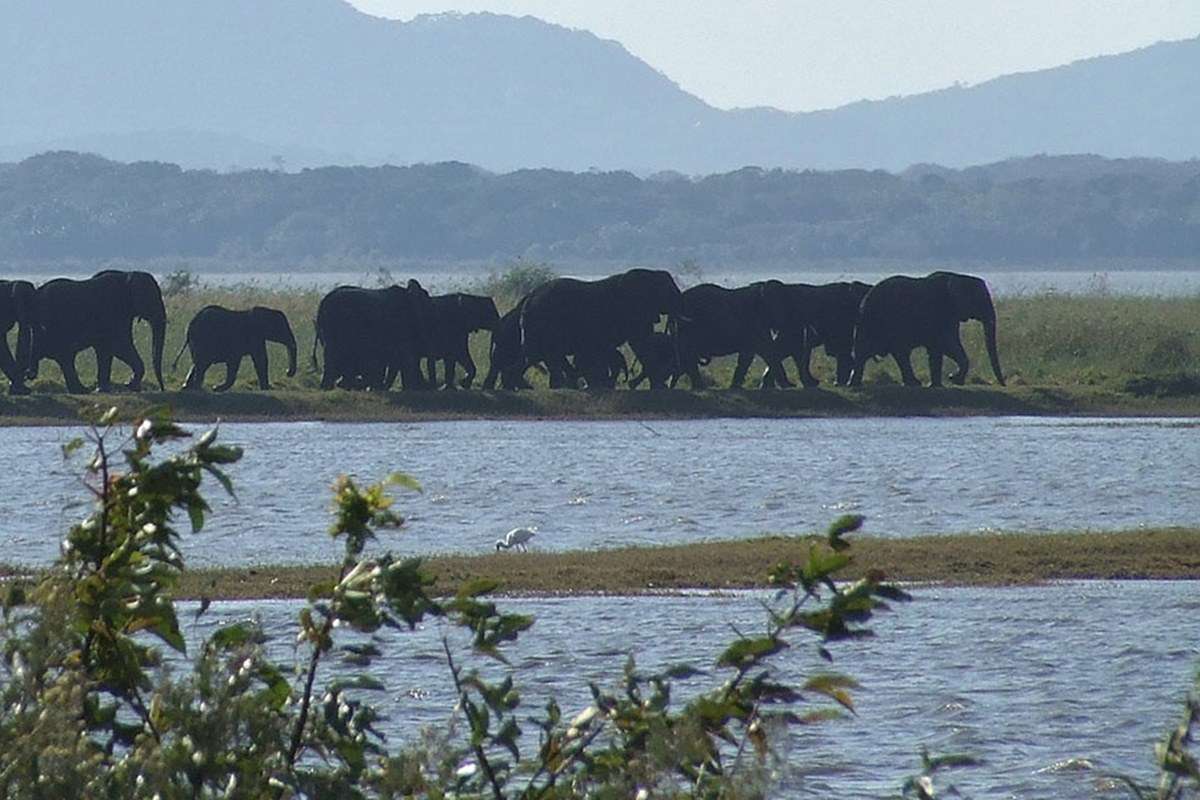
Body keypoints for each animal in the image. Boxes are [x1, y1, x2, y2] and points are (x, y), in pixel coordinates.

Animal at [29, 268, 166, 393]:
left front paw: (104, 389)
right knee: (65, 355)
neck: (127, 275)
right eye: (154, 298)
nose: (162, 389)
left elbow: (105, 349)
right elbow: (118, 345)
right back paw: (82, 391)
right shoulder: (113, 310)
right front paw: (129, 385)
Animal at [518, 268, 681, 391]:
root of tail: (529, 297)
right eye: (669, 291)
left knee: (547, 355)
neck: (649, 273)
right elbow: (641, 342)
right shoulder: (633, 311)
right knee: (548, 354)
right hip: (545, 322)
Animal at [849, 271, 1008, 388]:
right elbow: (948, 345)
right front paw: (954, 380)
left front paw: (939, 385)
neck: (959, 277)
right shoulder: (942, 313)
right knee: (885, 352)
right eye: (981, 299)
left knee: (881, 353)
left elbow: (937, 350)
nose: (1003, 385)